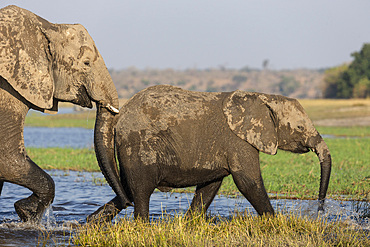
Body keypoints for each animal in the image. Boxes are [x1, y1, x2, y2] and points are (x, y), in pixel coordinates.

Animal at [0, 5, 132, 222]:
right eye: (86, 63)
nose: (89, 219)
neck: (47, 26)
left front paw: (25, 211)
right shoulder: (7, 88)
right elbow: (7, 158)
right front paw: (27, 212)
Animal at [89, 85, 332, 222]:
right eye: (299, 127)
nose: (320, 210)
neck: (262, 97)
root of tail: (119, 116)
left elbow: (211, 185)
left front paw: (189, 225)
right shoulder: (238, 140)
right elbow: (248, 182)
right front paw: (275, 223)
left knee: (126, 190)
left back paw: (88, 226)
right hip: (138, 144)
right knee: (140, 190)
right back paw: (143, 227)